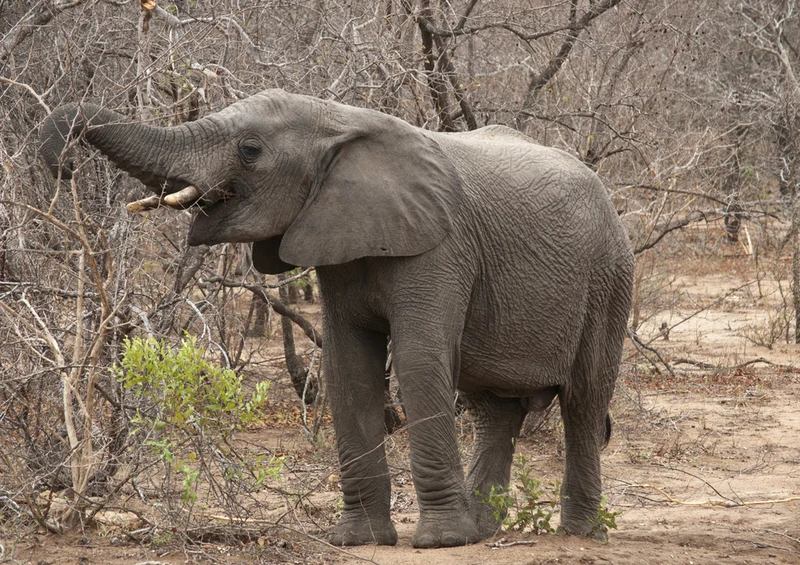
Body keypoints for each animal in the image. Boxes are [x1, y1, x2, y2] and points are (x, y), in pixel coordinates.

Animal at [40, 89, 634, 548]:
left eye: (249, 150)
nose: (64, 164)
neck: (340, 120)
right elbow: (348, 371)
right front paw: (359, 540)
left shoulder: (441, 247)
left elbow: (418, 362)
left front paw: (440, 542)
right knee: (496, 408)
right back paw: (485, 532)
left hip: (609, 277)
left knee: (583, 401)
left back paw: (580, 533)